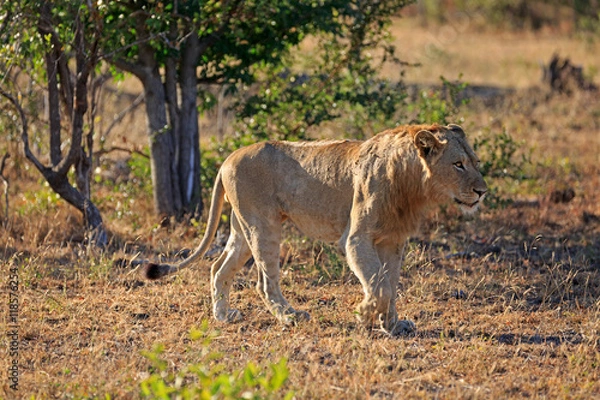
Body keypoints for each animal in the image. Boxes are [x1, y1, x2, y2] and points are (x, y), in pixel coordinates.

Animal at [144, 124, 488, 334]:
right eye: (458, 164)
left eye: (475, 161)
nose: (483, 191)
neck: (412, 183)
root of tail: (228, 158)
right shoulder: (357, 238)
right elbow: (379, 285)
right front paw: (364, 315)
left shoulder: (393, 241)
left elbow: (391, 284)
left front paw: (391, 325)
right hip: (263, 226)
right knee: (264, 282)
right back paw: (290, 317)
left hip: (241, 229)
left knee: (218, 268)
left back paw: (223, 316)